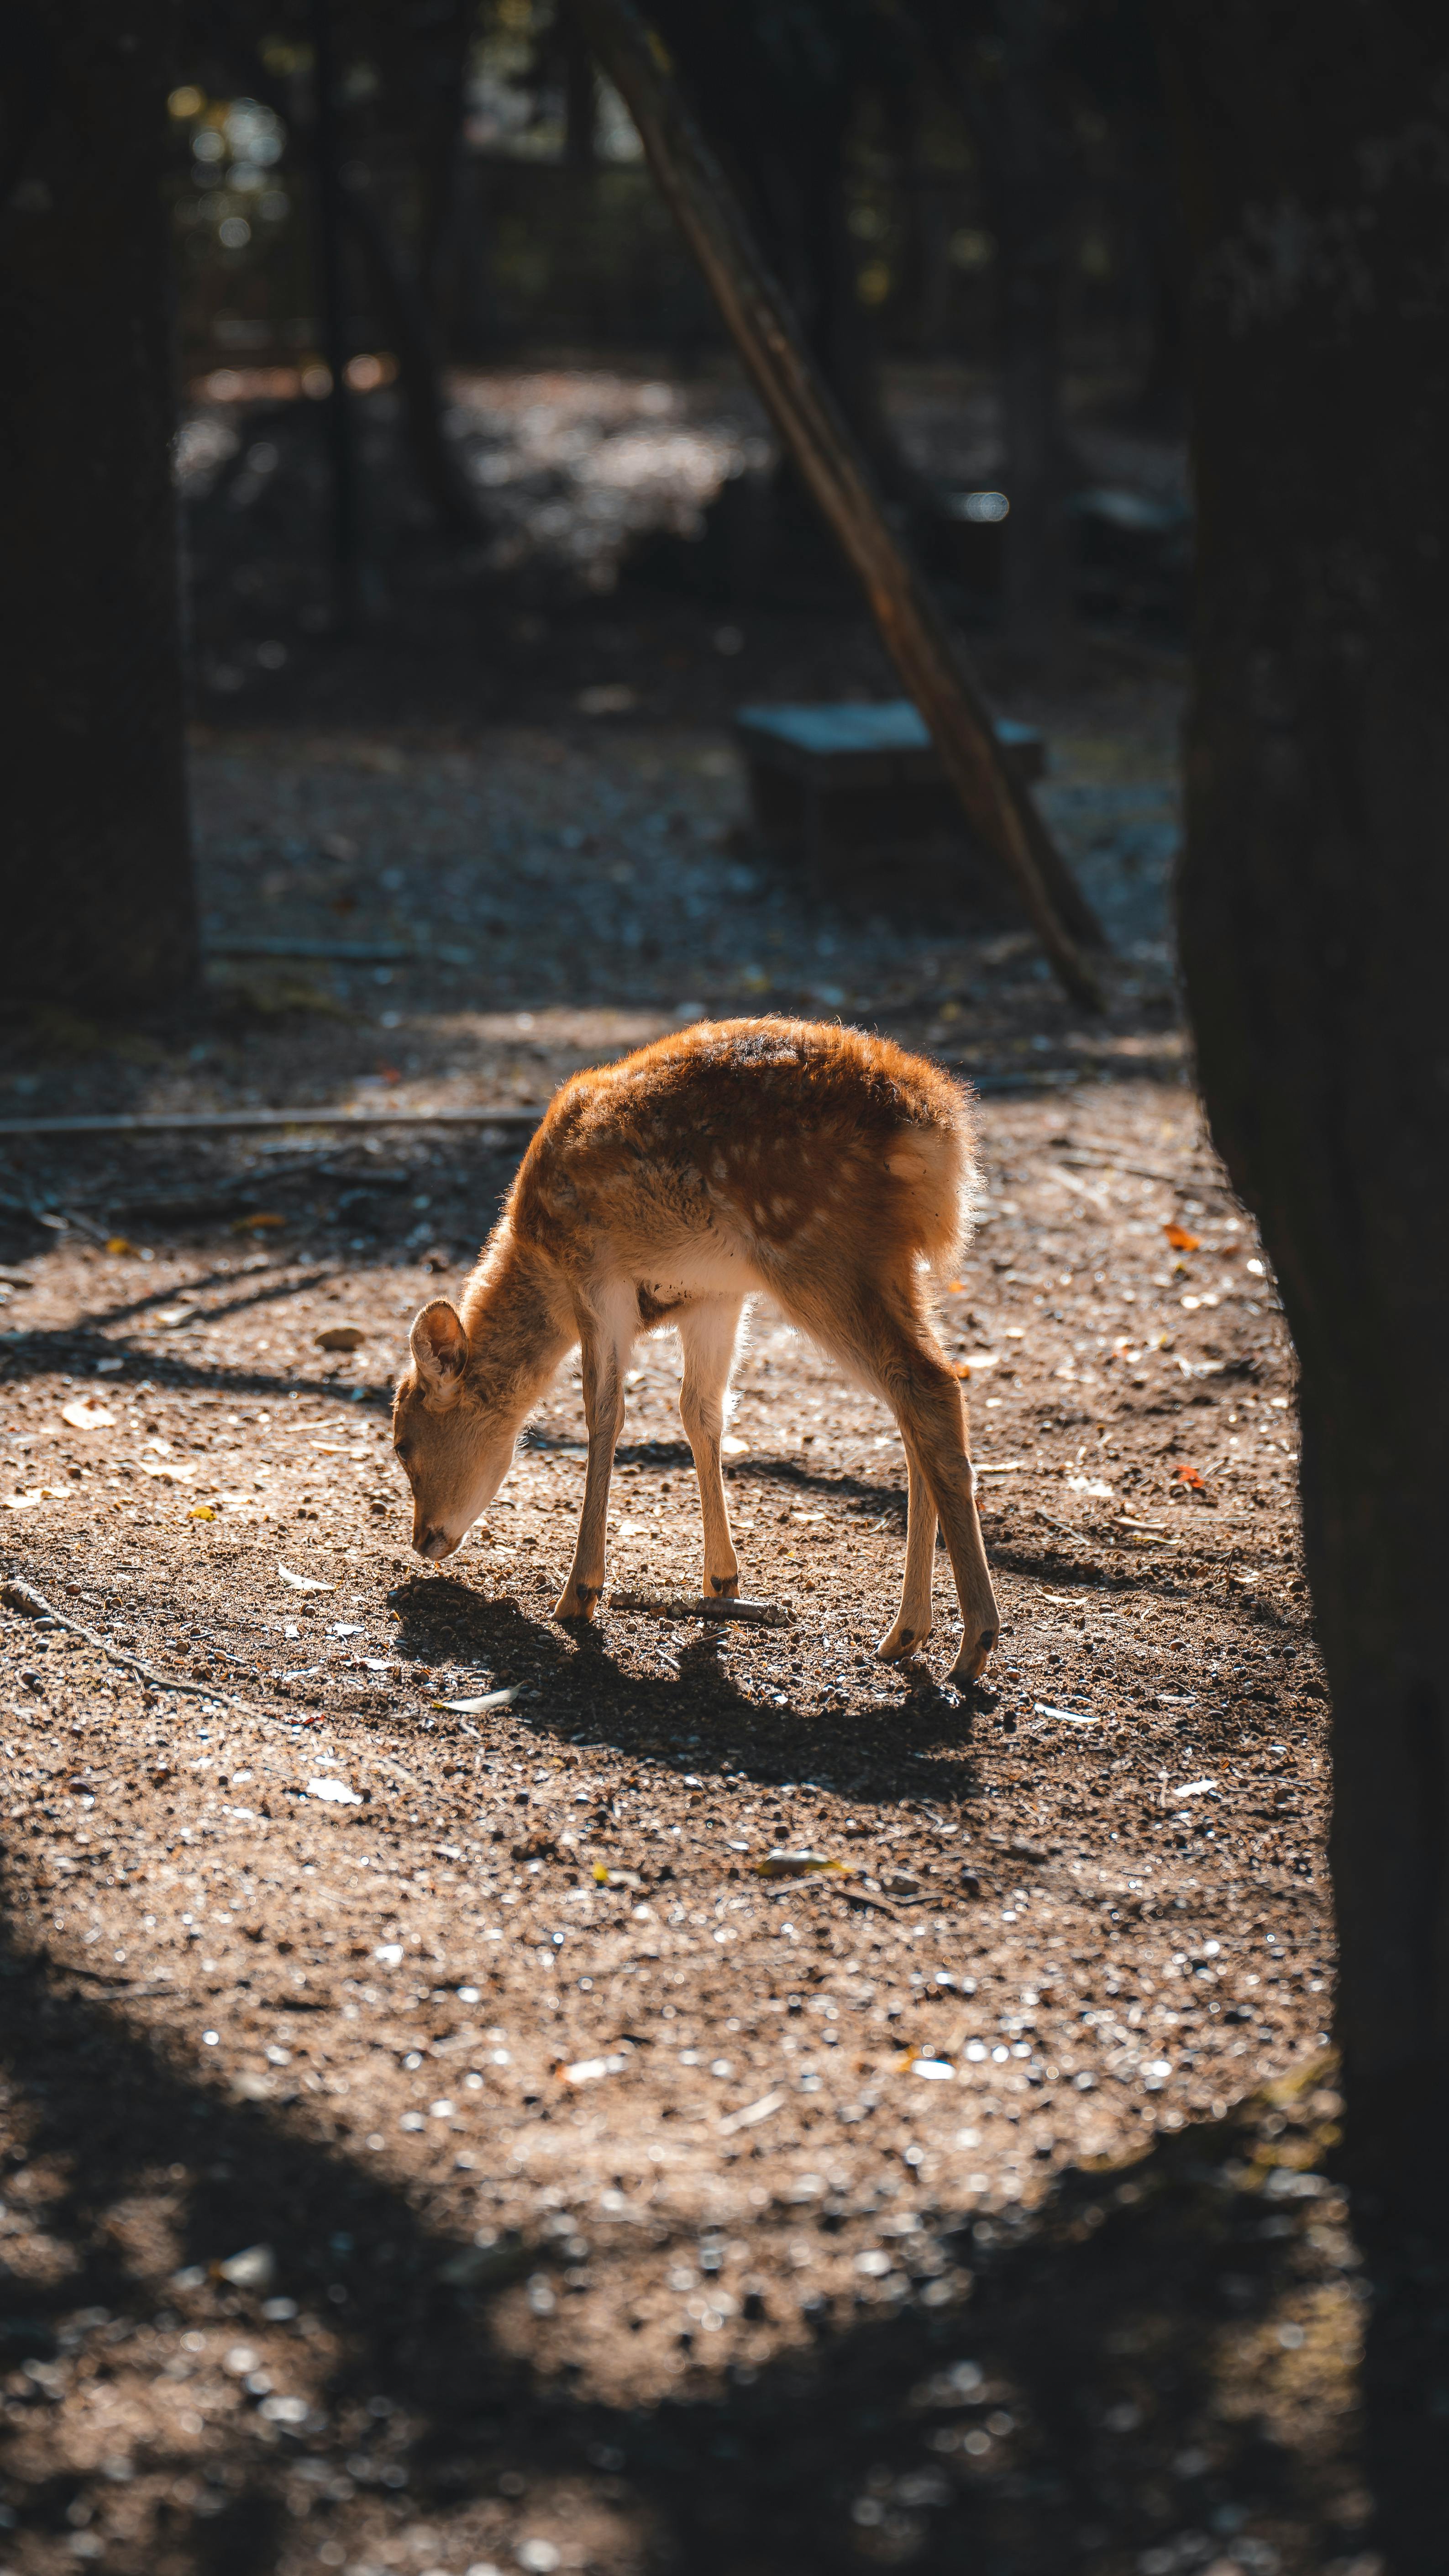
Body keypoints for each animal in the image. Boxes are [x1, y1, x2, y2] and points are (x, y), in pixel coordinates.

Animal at [392, 1017, 999, 1685]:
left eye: (402, 1443)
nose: (423, 1539)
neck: (540, 1262)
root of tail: (940, 1132)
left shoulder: (595, 1277)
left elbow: (604, 1413)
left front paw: (580, 1593)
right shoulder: (715, 1296)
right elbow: (700, 1411)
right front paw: (721, 1580)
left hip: (824, 1253)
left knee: (928, 1385)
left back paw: (972, 1643)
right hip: (891, 1267)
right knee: (920, 1397)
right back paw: (906, 1634)